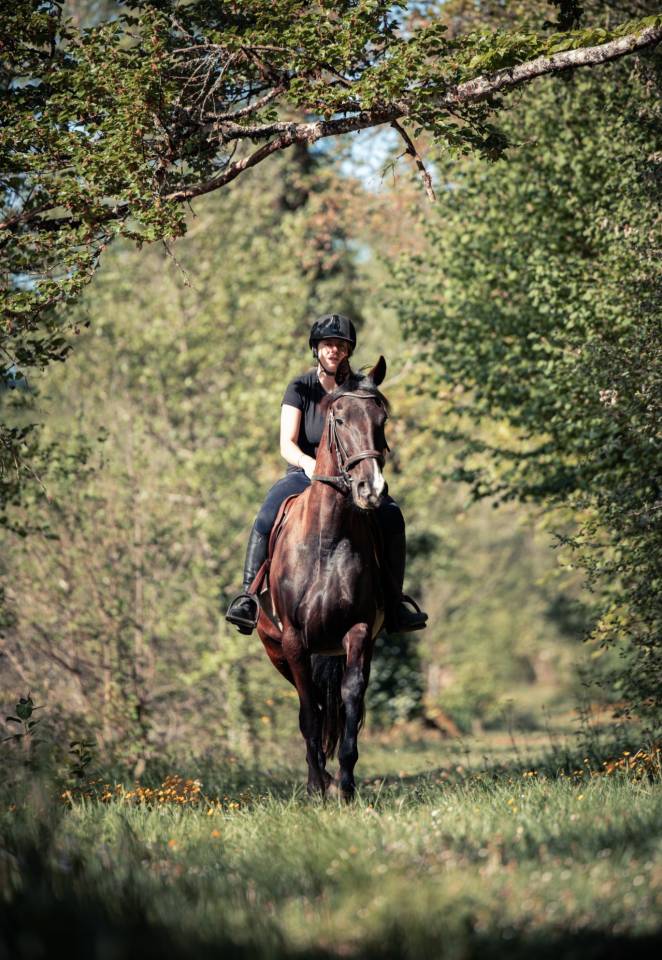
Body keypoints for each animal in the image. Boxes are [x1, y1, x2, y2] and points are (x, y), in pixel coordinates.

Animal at [256, 356, 390, 800]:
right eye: (340, 418)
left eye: (382, 419)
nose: (371, 489)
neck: (327, 537)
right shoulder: (295, 640)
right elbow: (310, 714)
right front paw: (318, 784)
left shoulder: (359, 632)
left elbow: (350, 703)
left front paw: (345, 785)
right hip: (277, 649)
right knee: (308, 706)